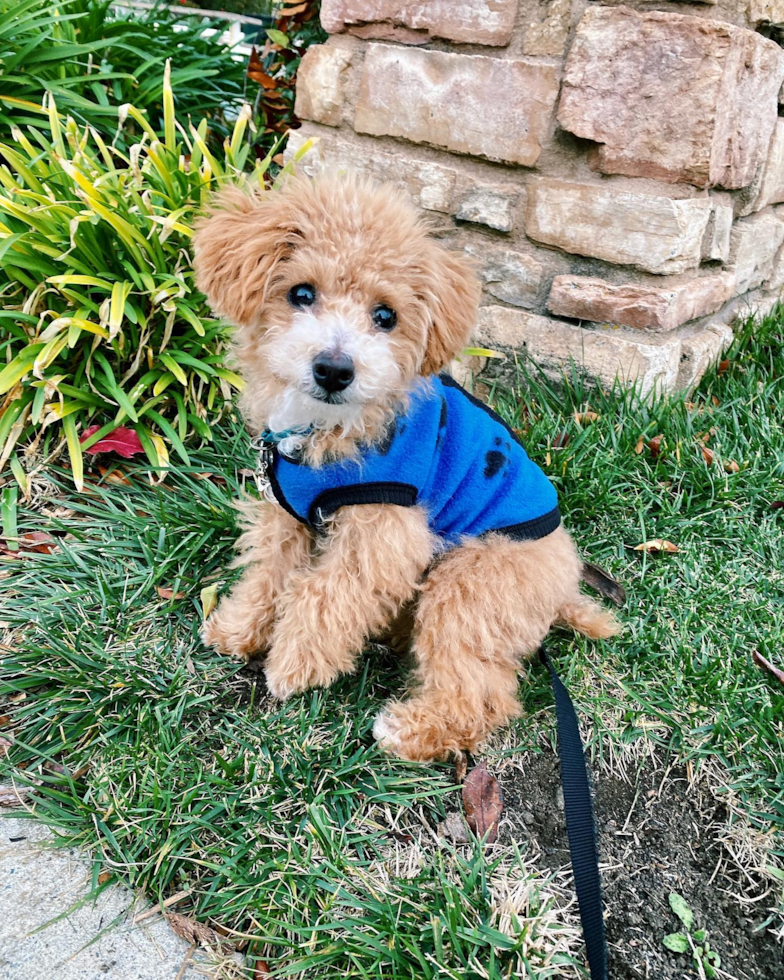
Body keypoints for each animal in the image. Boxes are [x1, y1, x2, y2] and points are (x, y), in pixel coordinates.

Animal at [191, 172, 620, 760]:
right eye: (301, 293)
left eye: (385, 316)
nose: (334, 369)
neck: (327, 430)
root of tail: (563, 587)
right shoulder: (286, 514)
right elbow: (268, 573)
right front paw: (238, 631)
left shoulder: (382, 532)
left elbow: (324, 594)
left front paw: (294, 666)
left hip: (471, 583)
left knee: (480, 694)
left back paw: (412, 729)